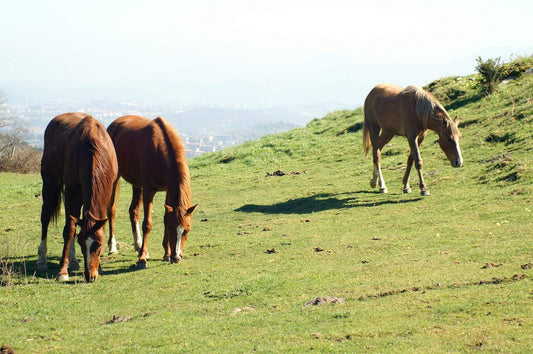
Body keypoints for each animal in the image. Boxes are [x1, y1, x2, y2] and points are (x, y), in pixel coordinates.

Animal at [38, 113, 119, 282]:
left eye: (99, 244)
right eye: (82, 244)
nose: (90, 276)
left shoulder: (107, 190)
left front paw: (99, 268)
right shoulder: (71, 192)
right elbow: (70, 230)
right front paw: (62, 271)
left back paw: (74, 261)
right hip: (50, 182)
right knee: (46, 217)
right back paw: (42, 260)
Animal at [106, 116, 197, 268]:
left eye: (187, 230)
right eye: (172, 230)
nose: (177, 257)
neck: (160, 149)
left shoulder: (168, 190)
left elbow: (166, 218)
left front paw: (166, 254)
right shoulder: (149, 190)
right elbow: (147, 224)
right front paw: (142, 259)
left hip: (137, 184)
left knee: (133, 211)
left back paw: (138, 246)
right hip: (115, 178)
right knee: (111, 210)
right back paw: (113, 247)